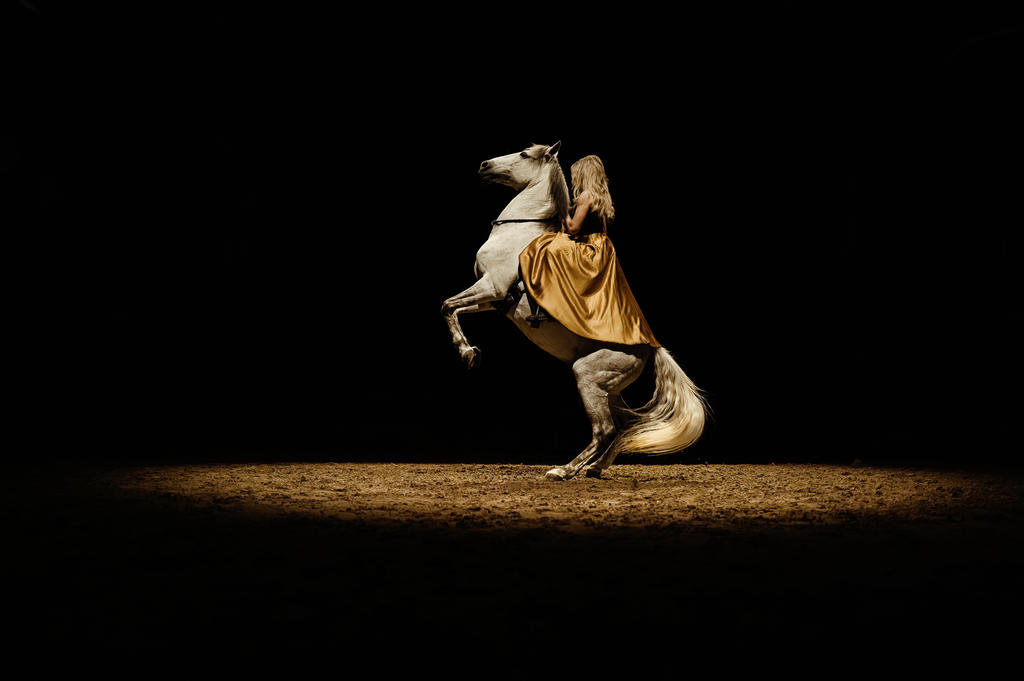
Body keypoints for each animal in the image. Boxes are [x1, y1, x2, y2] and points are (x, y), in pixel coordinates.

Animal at [440, 139, 704, 477]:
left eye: (524, 154)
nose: (484, 165)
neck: (517, 232)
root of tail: (650, 346)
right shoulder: (493, 299)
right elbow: (454, 310)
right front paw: (470, 351)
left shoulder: (492, 285)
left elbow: (447, 306)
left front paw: (466, 352)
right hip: (608, 387)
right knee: (623, 426)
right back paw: (594, 469)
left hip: (588, 376)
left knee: (605, 429)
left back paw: (564, 470)